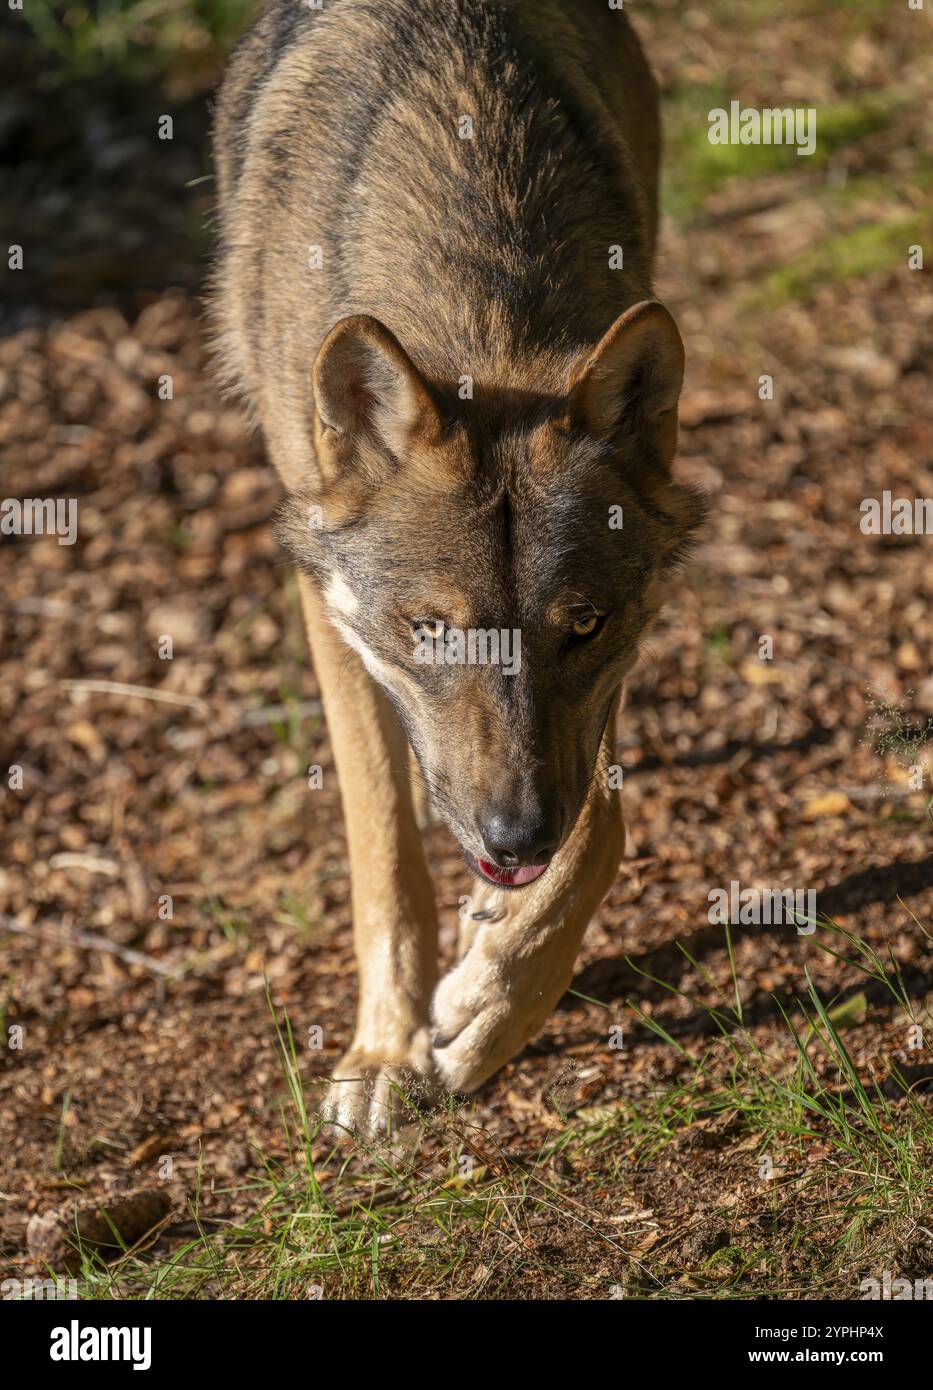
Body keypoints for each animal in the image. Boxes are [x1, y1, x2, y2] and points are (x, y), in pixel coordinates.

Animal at [212, 0, 704, 1134]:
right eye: (431, 630)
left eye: (584, 625)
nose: (514, 837)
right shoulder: (331, 612)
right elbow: (386, 851)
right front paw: (388, 1048)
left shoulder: (597, 695)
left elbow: (602, 822)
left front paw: (489, 1008)